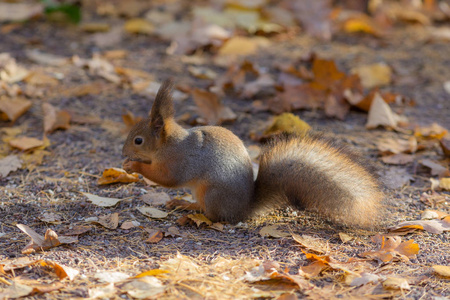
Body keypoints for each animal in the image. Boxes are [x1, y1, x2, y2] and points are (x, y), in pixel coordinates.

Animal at [123, 79, 384, 227]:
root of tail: (243, 209)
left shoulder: (179, 161)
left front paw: (133, 166)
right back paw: (184, 204)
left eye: (138, 140)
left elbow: (167, 178)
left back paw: (192, 214)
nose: (123, 151)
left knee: (215, 216)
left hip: (213, 194)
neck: (169, 144)